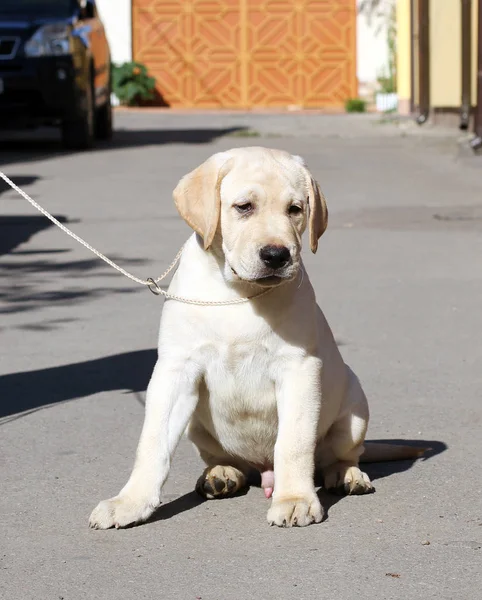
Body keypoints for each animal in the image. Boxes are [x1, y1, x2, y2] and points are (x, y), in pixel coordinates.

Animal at [89, 146, 422, 528]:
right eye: (244, 207)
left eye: (296, 209)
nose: (277, 255)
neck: (237, 293)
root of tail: (262, 471)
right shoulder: (175, 369)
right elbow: (152, 443)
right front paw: (129, 501)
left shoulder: (298, 369)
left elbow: (293, 443)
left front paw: (294, 499)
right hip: (198, 429)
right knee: (227, 460)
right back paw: (221, 474)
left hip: (354, 406)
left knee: (337, 455)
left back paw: (346, 475)